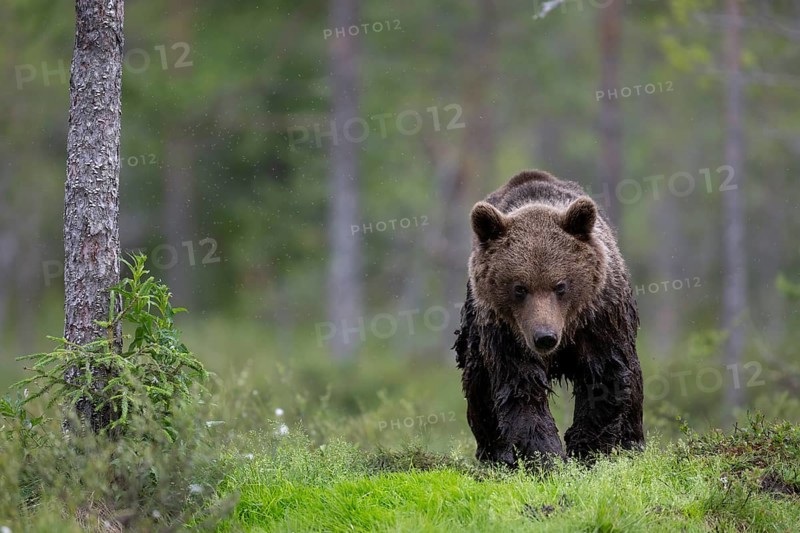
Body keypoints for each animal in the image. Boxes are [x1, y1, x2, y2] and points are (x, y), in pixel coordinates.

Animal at [454, 169, 644, 466]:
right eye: (520, 288)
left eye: (560, 286)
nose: (545, 337)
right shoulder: (508, 332)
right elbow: (521, 387)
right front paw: (545, 456)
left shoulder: (598, 318)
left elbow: (604, 377)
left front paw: (587, 449)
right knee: (478, 386)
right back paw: (494, 453)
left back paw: (631, 444)